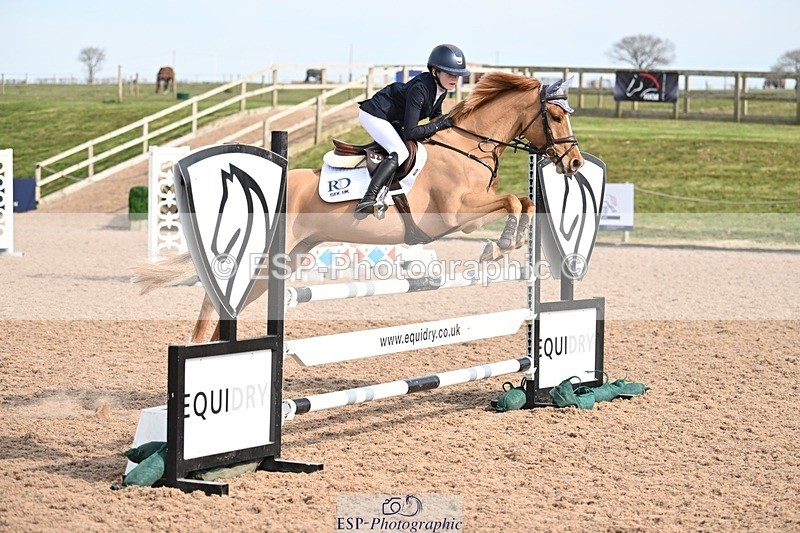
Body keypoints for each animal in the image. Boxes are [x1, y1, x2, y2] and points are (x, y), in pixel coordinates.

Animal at [135, 72, 584, 343]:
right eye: (555, 116)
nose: (575, 163)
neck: (468, 145)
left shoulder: (469, 219)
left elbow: (523, 201)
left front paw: (507, 244)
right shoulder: (455, 214)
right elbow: (512, 200)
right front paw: (500, 246)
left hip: (285, 259)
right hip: (266, 255)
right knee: (214, 299)